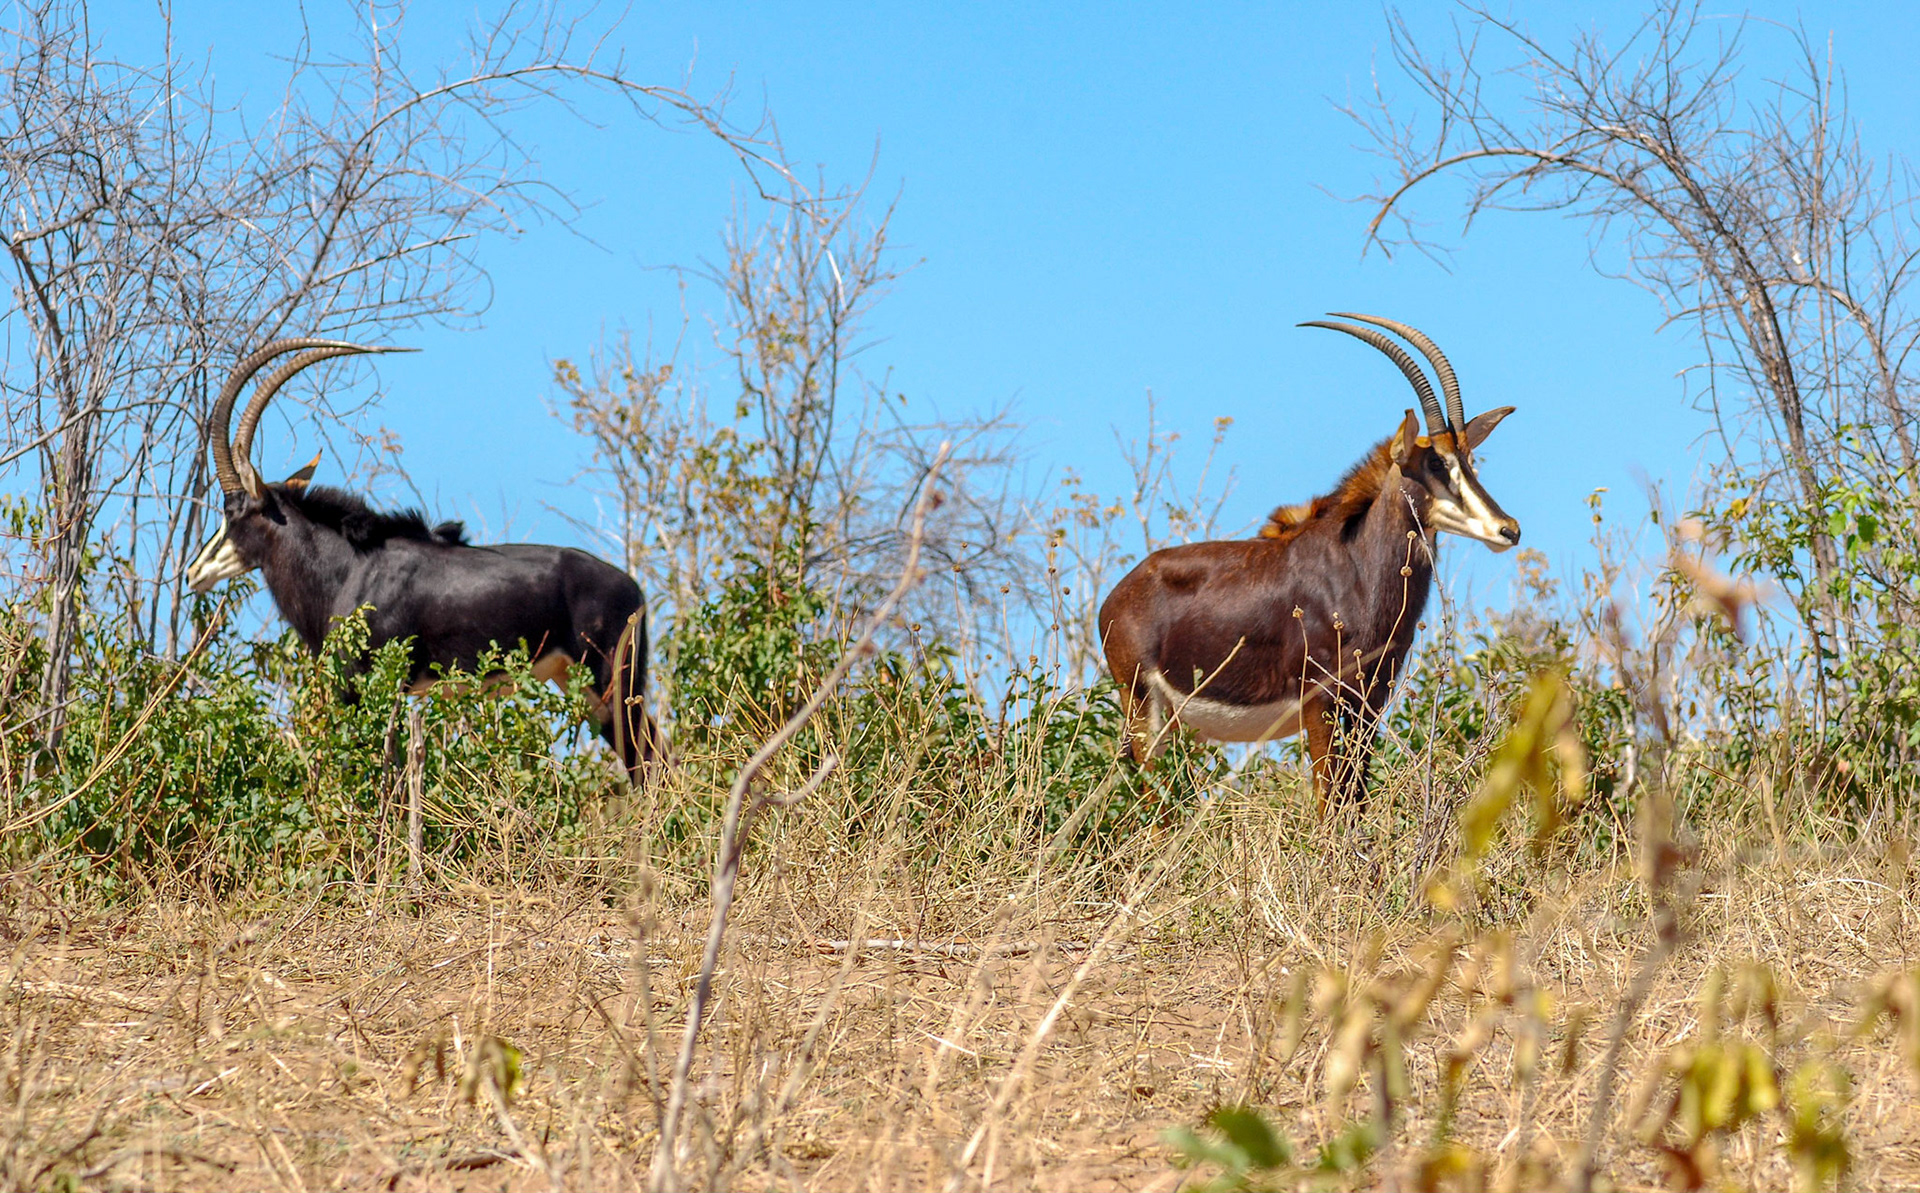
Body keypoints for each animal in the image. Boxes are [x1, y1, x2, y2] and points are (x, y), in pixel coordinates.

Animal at [187, 338, 658, 778]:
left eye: (233, 513)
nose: (194, 571)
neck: (349, 568)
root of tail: (635, 591)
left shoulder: (371, 685)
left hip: (612, 681)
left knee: (649, 758)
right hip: (578, 682)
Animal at [1098, 314, 1519, 807]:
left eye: (1470, 460)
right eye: (1435, 464)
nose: (1508, 529)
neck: (1356, 568)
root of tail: (1115, 599)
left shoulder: (1369, 704)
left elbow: (1353, 800)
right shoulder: (1321, 702)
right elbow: (1328, 802)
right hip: (1145, 712)